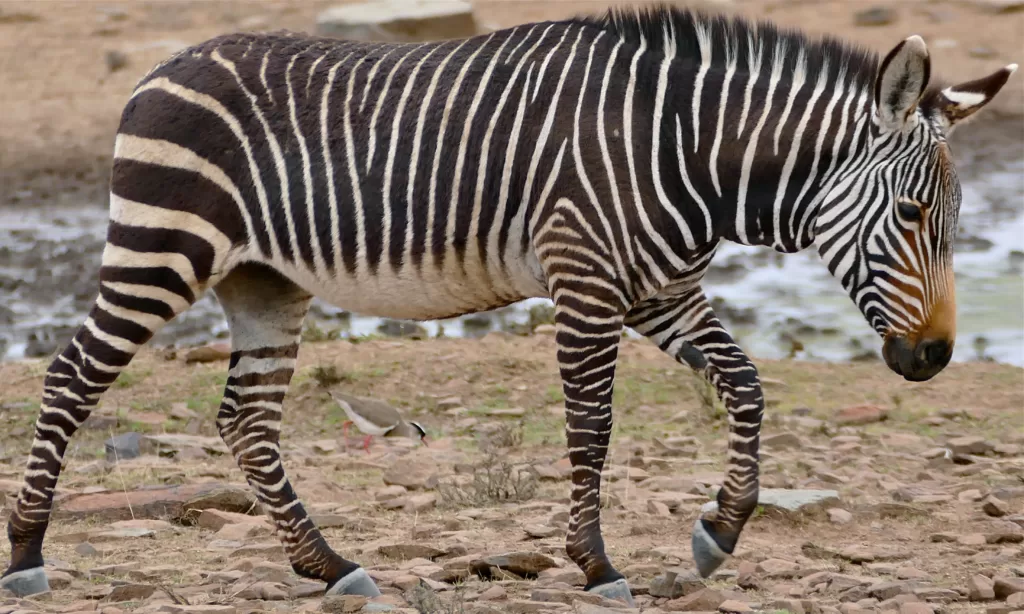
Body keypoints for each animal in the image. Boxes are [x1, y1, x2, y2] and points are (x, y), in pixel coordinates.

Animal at [2, 4, 1015, 605]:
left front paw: (718, 534)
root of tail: (165, 65)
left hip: (265, 281)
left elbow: (746, 385)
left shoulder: (660, 292)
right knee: (69, 379)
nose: (933, 358)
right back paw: (27, 557)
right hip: (161, 248)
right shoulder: (588, 278)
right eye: (914, 215)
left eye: (958, 220)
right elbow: (592, 426)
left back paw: (328, 566)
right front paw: (598, 566)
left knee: (246, 421)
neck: (689, 153)